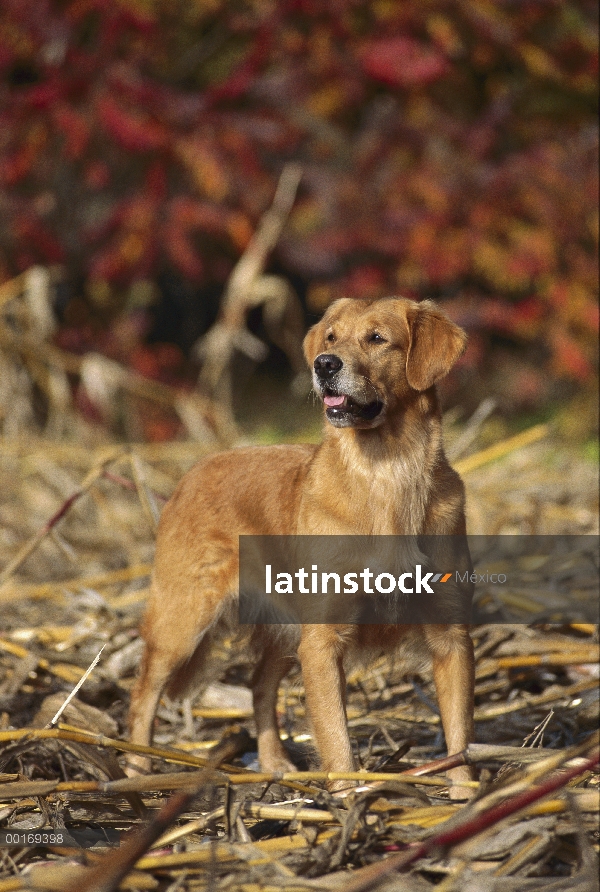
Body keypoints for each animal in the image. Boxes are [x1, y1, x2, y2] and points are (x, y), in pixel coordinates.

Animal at [129, 296, 476, 796]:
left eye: (377, 338)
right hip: (182, 622)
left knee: (258, 685)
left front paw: (469, 797)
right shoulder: (322, 641)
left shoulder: (451, 637)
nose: (324, 364)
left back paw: (274, 763)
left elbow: (460, 736)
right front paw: (349, 799)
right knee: (143, 694)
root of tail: (192, 472)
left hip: (284, 629)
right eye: (331, 337)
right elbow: (335, 734)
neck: (388, 474)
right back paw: (136, 767)